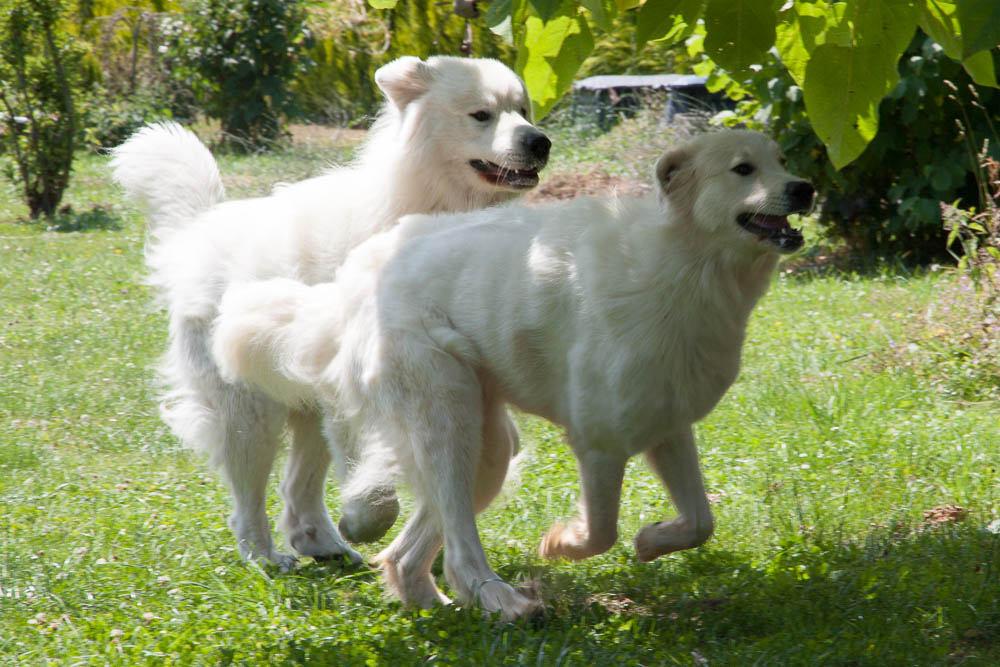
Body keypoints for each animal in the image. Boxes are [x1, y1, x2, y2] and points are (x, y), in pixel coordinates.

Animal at [112, 54, 552, 572]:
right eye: (481, 115)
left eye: (522, 110)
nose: (539, 140)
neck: (429, 201)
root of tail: (198, 230)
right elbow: (375, 476)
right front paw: (368, 516)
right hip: (249, 411)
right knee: (249, 496)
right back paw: (266, 555)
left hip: (304, 403)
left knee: (296, 484)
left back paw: (322, 542)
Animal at [209, 130, 812, 620]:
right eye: (742, 169)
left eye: (782, 160)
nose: (805, 188)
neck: (683, 264)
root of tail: (352, 284)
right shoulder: (598, 442)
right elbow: (601, 531)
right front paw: (563, 543)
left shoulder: (667, 428)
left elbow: (700, 522)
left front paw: (652, 541)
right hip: (448, 420)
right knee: (455, 547)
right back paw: (502, 601)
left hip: (487, 447)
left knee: (407, 554)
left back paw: (438, 604)